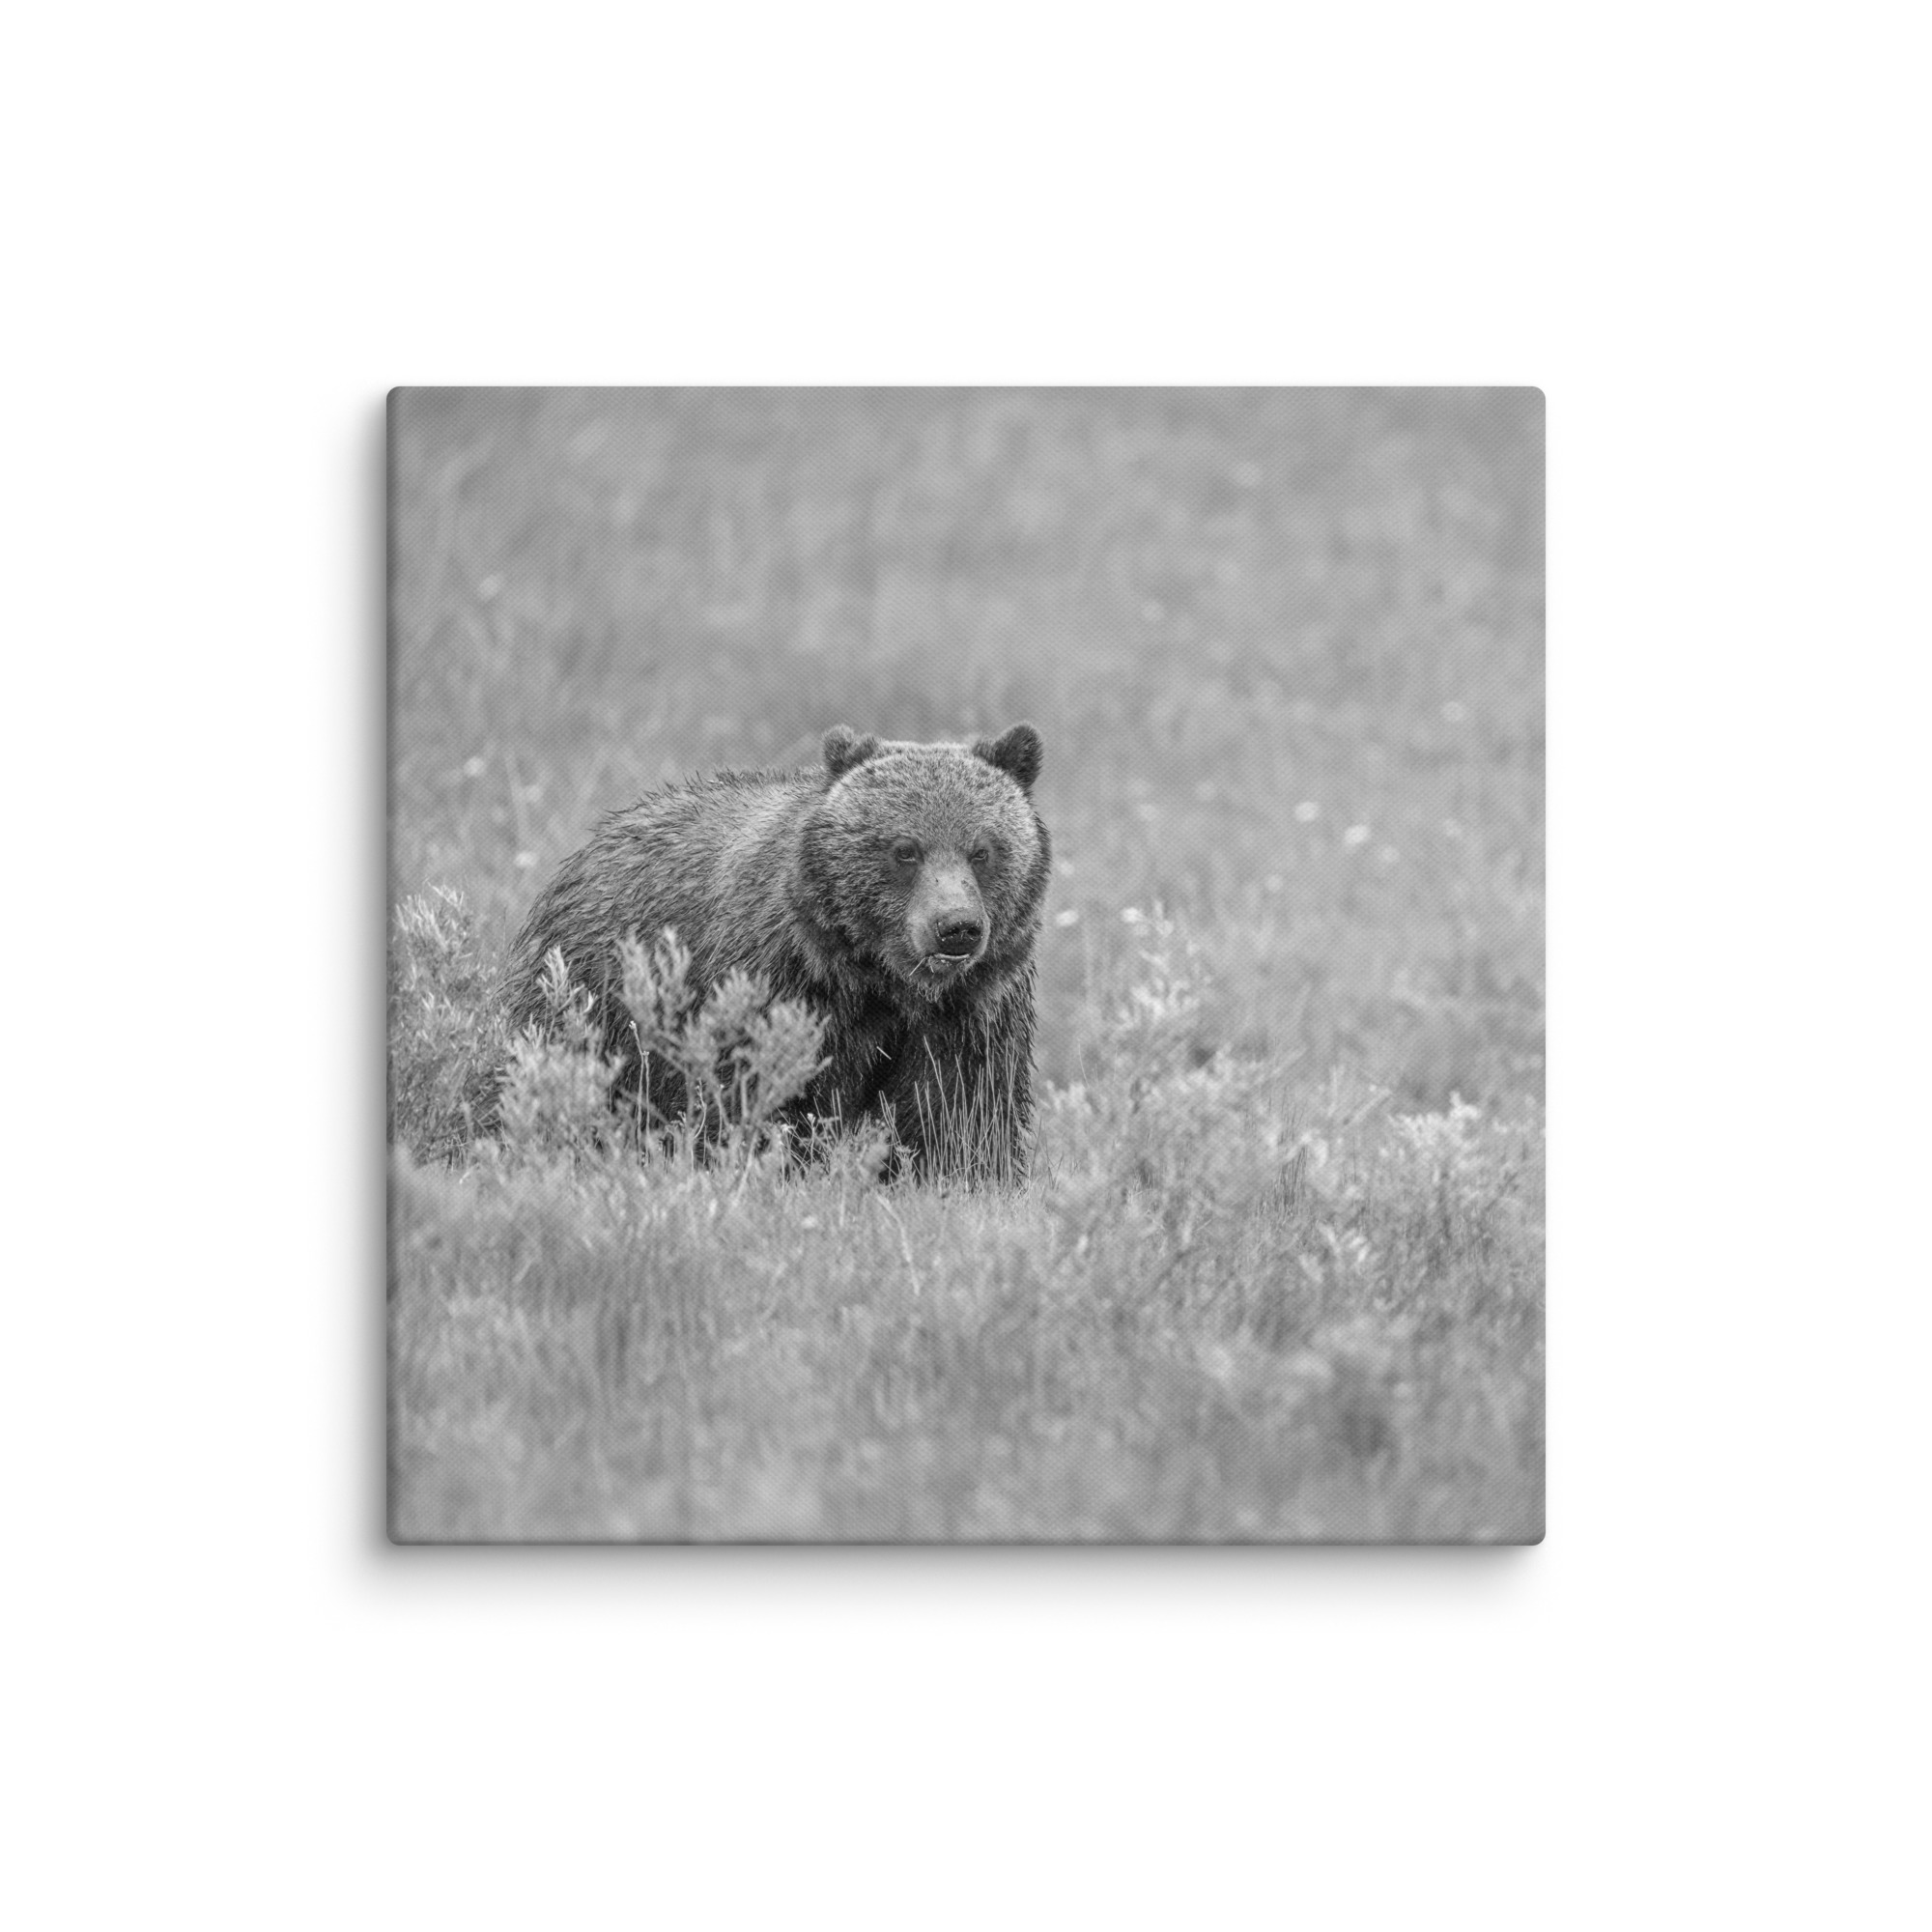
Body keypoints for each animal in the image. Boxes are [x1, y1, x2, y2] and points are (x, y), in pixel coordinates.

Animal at [498, 722, 1051, 1181]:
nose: (956, 928)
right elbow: (760, 1094)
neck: (881, 980)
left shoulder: (971, 1011)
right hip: (592, 996)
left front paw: (964, 1179)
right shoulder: (778, 984)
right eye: (905, 849)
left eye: (982, 850)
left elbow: (961, 1113)